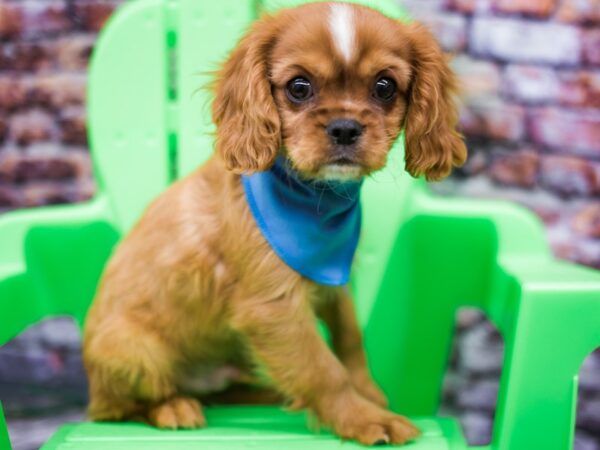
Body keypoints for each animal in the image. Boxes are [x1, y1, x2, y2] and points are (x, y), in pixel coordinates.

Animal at [82, 1, 466, 444]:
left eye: (384, 87)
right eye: (299, 87)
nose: (345, 127)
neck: (315, 200)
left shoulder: (333, 283)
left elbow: (350, 339)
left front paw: (368, 394)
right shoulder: (273, 308)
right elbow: (322, 369)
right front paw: (363, 417)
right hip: (132, 351)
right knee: (123, 407)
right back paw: (173, 407)